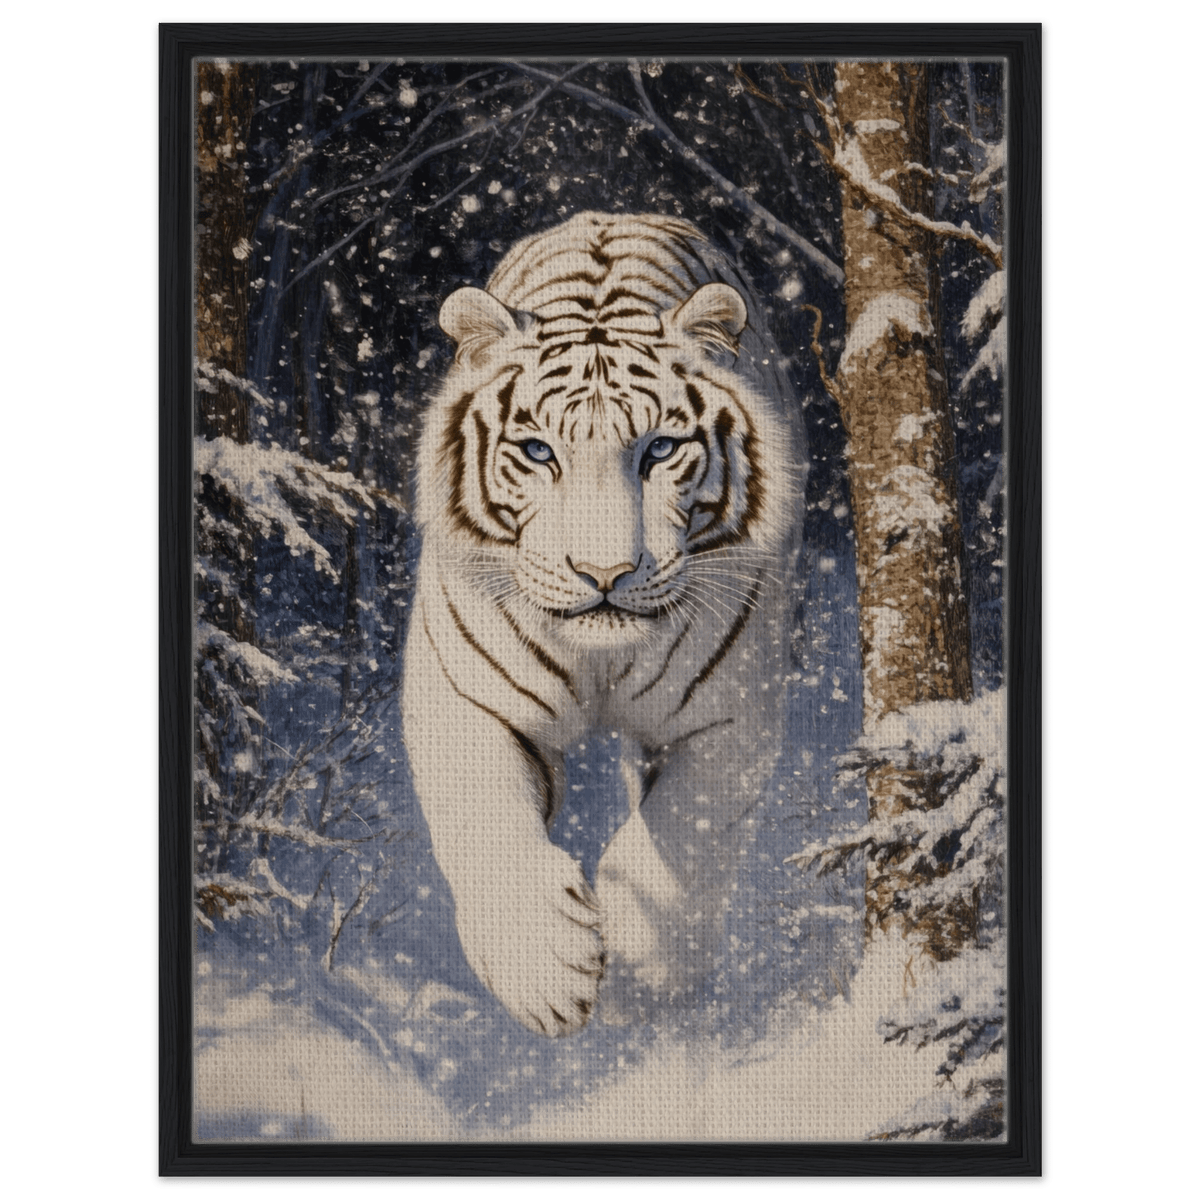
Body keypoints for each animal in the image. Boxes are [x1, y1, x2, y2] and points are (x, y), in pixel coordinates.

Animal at [402, 213, 806, 1036]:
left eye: (660, 449)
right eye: (537, 451)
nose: (604, 574)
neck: (600, 660)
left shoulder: (730, 714)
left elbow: (681, 836)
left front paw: (643, 976)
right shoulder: (463, 697)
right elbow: (486, 820)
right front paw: (545, 972)